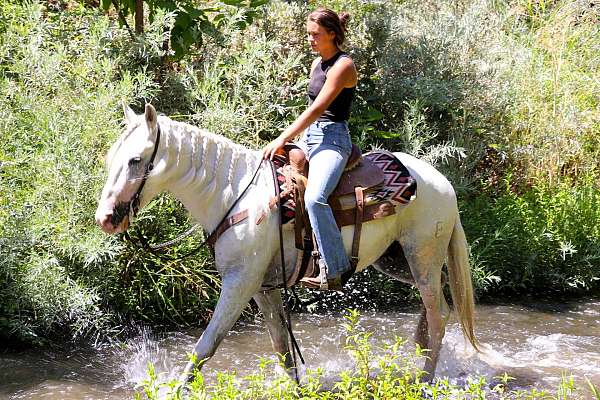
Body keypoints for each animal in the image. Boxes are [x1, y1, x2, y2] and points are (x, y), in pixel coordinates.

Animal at [95, 104, 478, 384]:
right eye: (111, 158)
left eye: (135, 160)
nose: (105, 218)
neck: (234, 195)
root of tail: (442, 181)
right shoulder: (264, 288)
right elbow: (281, 346)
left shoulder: (240, 283)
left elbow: (206, 345)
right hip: (397, 261)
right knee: (440, 302)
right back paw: (420, 348)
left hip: (421, 257)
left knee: (439, 312)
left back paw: (425, 378)